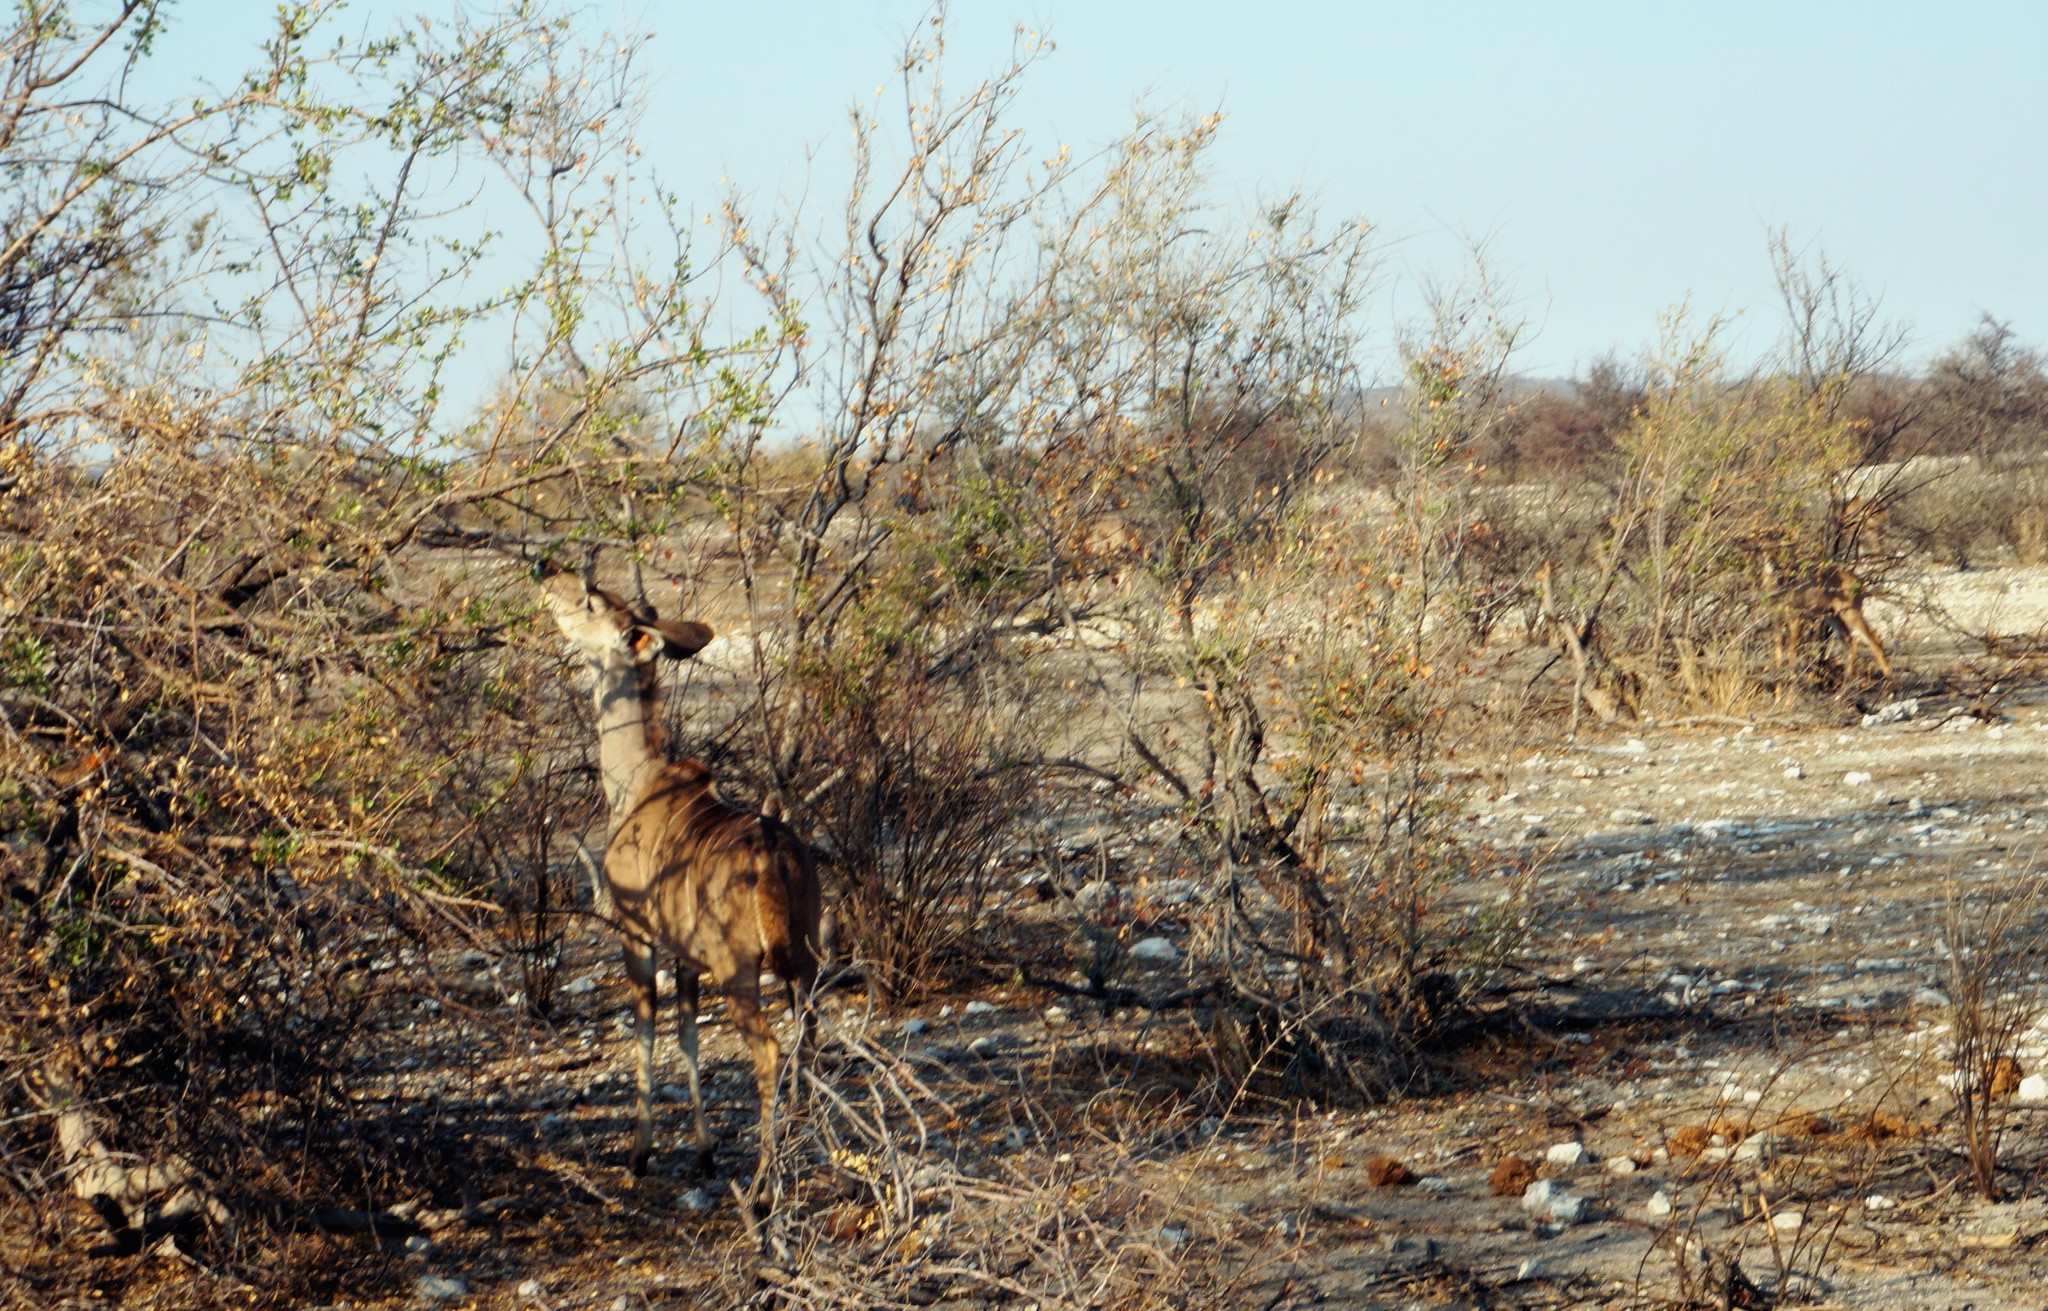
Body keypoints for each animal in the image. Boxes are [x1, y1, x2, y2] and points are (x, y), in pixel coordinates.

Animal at [548, 569, 827, 1179]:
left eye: (591, 601)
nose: (550, 579)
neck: (634, 782)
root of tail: (775, 854)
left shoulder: (637, 932)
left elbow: (647, 1031)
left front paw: (640, 1151)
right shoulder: (686, 956)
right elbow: (688, 1037)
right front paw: (703, 1150)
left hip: (740, 968)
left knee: (769, 1048)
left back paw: (765, 1181)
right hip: (803, 957)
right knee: (809, 1029)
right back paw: (809, 1132)